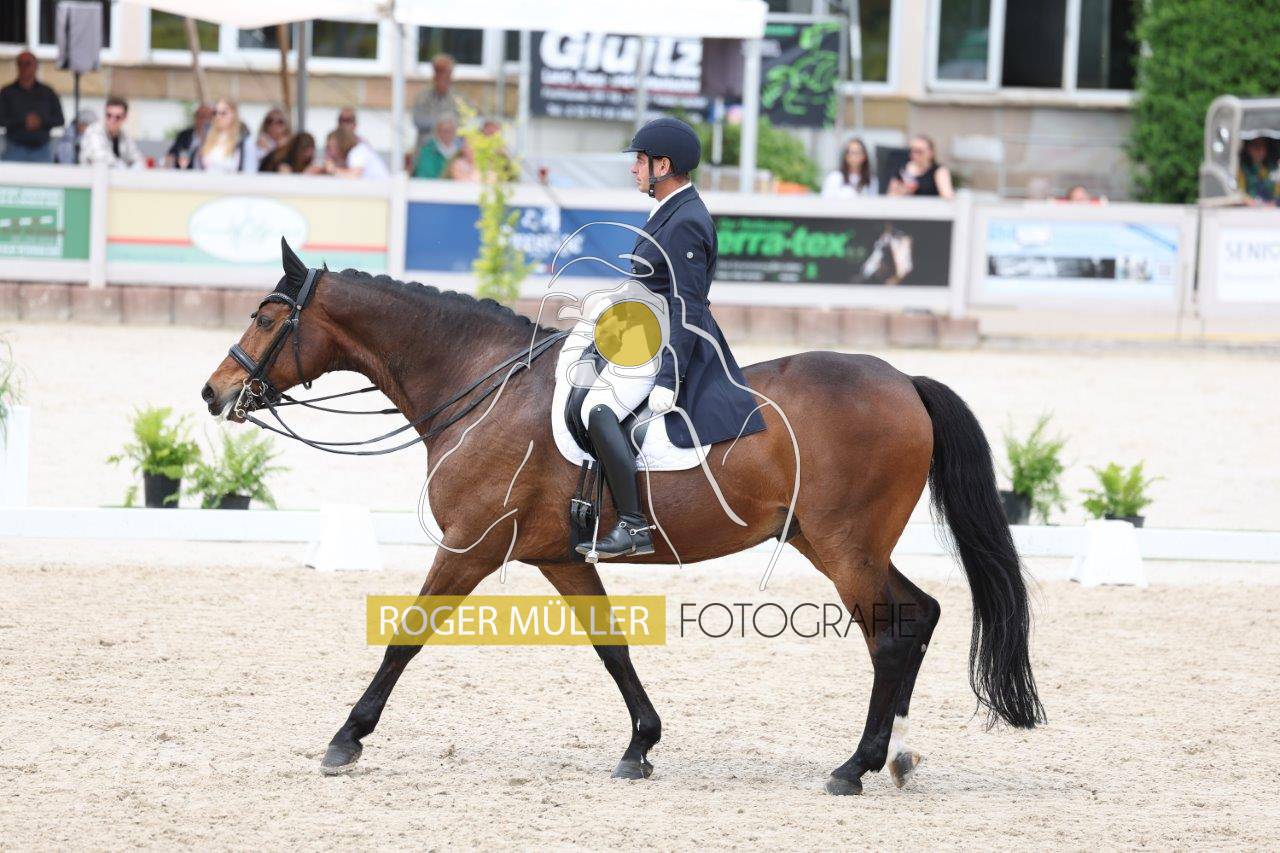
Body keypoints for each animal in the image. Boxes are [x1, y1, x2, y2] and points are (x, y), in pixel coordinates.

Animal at [200, 243, 1044, 795]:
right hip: (826, 540)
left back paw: (853, 766)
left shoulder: (470, 546)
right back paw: (893, 755)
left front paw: (345, 738)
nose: (215, 393)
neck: (482, 385)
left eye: (267, 317)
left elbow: (406, 636)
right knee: (913, 617)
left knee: (895, 628)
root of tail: (902, 378)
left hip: (844, 544)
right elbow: (611, 647)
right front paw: (641, 745)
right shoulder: (558, 555)